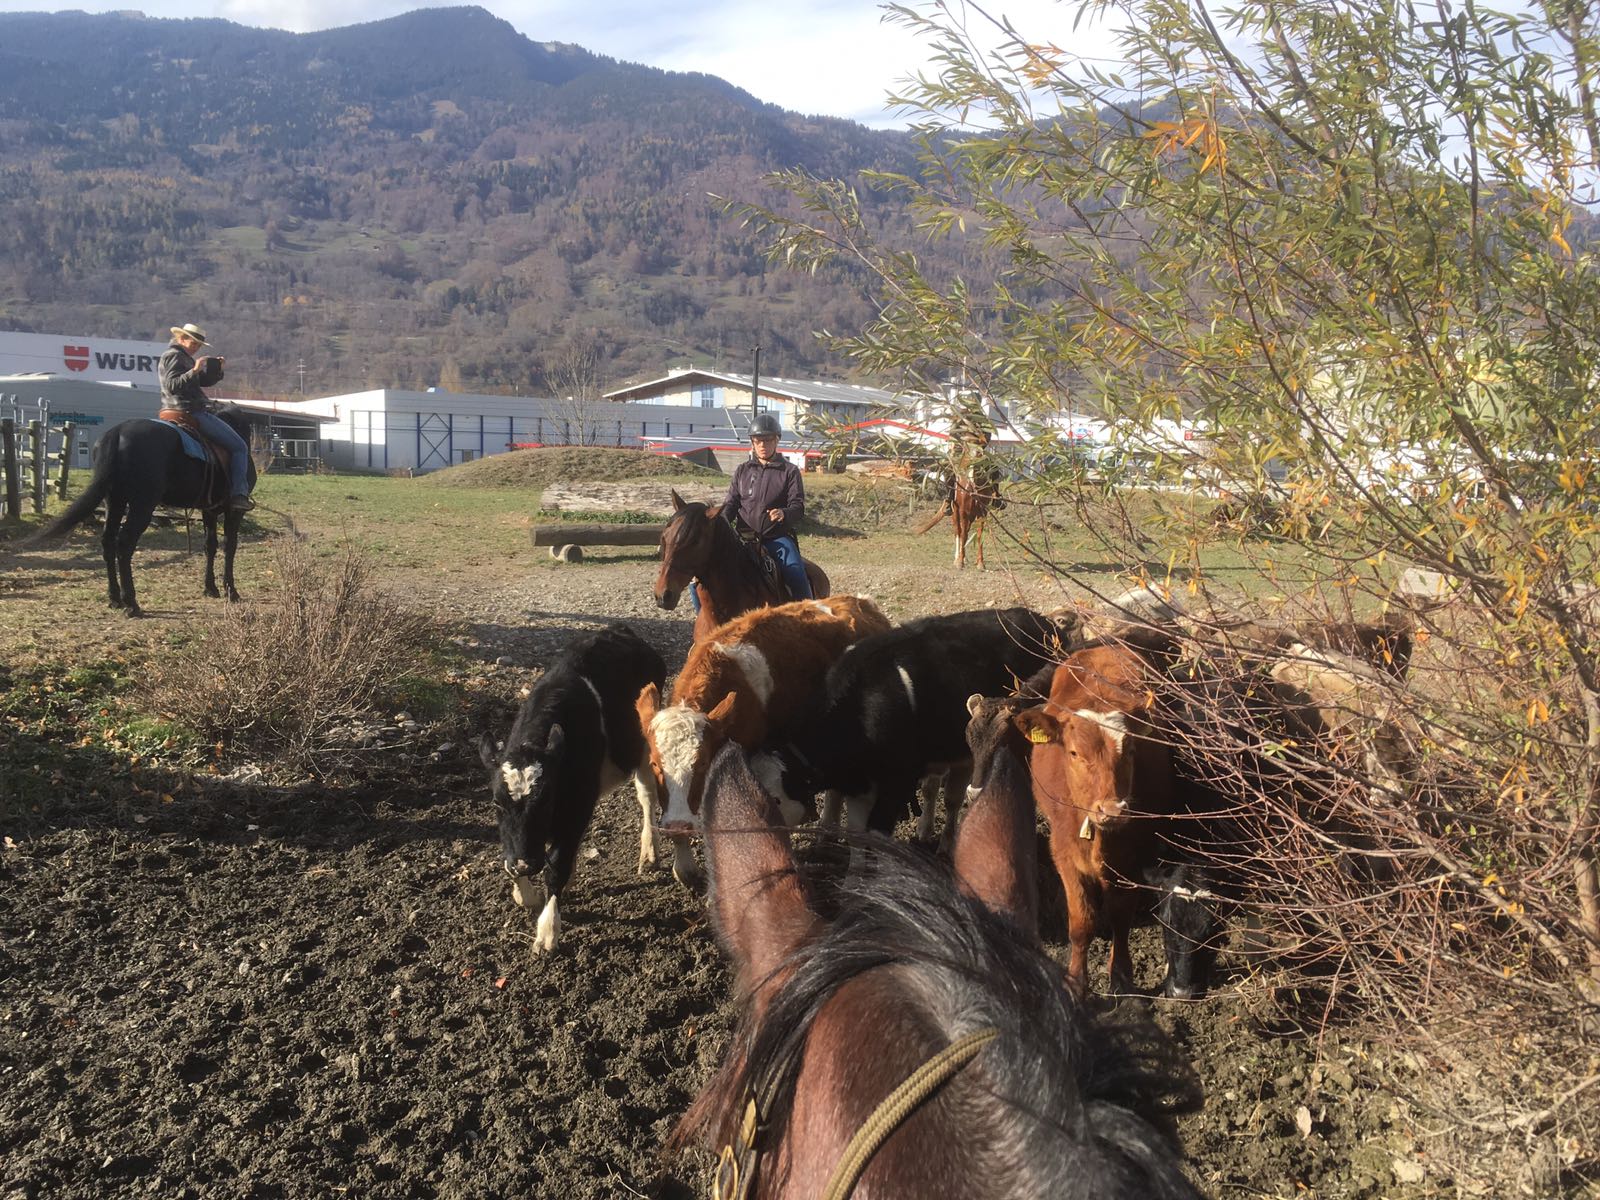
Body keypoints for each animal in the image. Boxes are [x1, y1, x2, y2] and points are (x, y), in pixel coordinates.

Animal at [479, 624, 666, 952]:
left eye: (546, 799)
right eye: (496, 803)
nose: (525, 865)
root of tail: (621, 631)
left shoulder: (578, 802)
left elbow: (556, 864)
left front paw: (547, 932)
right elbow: (512, 859)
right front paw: (524, 894)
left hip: (644, 747)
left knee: (647, 798)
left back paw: (649, 852)